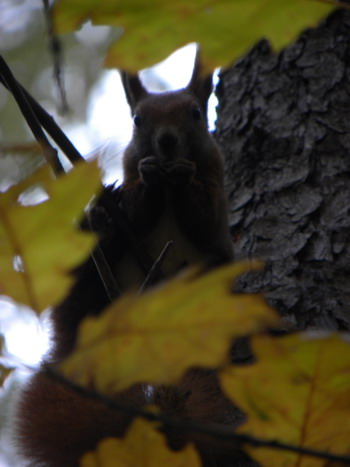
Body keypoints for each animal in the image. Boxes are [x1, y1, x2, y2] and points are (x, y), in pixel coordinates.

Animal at [12, 53, 242, 466]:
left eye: (196, 113)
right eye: (136, 119)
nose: (166, 141)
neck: (167, 188)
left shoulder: (216, 199)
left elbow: (202, 215)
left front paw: (183, 177)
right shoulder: (135, 182)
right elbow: (137, 208)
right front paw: (142, 184)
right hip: (90, 283)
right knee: (87, 277)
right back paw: (103, 225)